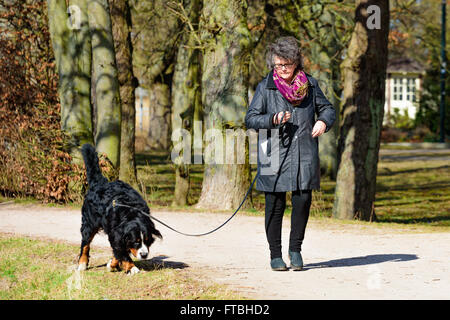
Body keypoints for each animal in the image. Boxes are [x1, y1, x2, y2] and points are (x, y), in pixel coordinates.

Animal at [78, 144, 163, 274]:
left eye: (147, 240)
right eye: (136, 241)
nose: (144, 254)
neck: (132, 212)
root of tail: (100, 183)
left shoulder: (118, 233)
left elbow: (119, 250)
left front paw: (112, 264)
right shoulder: (116, 233)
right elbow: (121, 251)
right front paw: (131, 267)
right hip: (89, 223)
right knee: (85, 244)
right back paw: (82, 263)